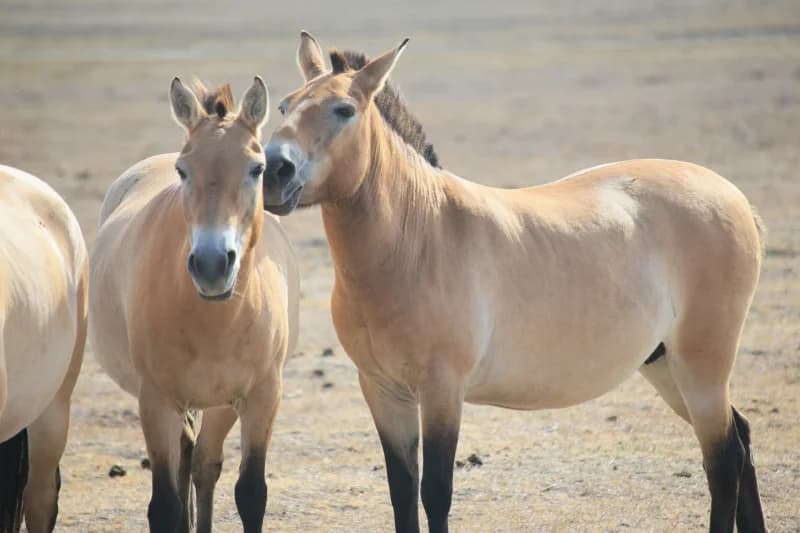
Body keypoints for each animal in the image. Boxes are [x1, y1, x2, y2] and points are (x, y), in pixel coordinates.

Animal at [89, 77, 299, 533]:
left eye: (257, 169)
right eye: (183, 171)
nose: (211, 265)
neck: (213, 321)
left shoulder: (260, 398)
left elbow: (250, 493)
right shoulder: (156, 402)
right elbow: (165, 505)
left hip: (219, 405)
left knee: (203, 464)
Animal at [262, 32, 767, 533]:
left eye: (344, 109)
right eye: (284, 106)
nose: (274, 170)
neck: (417, 239)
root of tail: (732, 195)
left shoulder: (442, 392)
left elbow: (435, 493)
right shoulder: (384, 392)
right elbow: (402, 494)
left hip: (700, 366)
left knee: (723, 459)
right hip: (663, 364)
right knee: (740, 439)